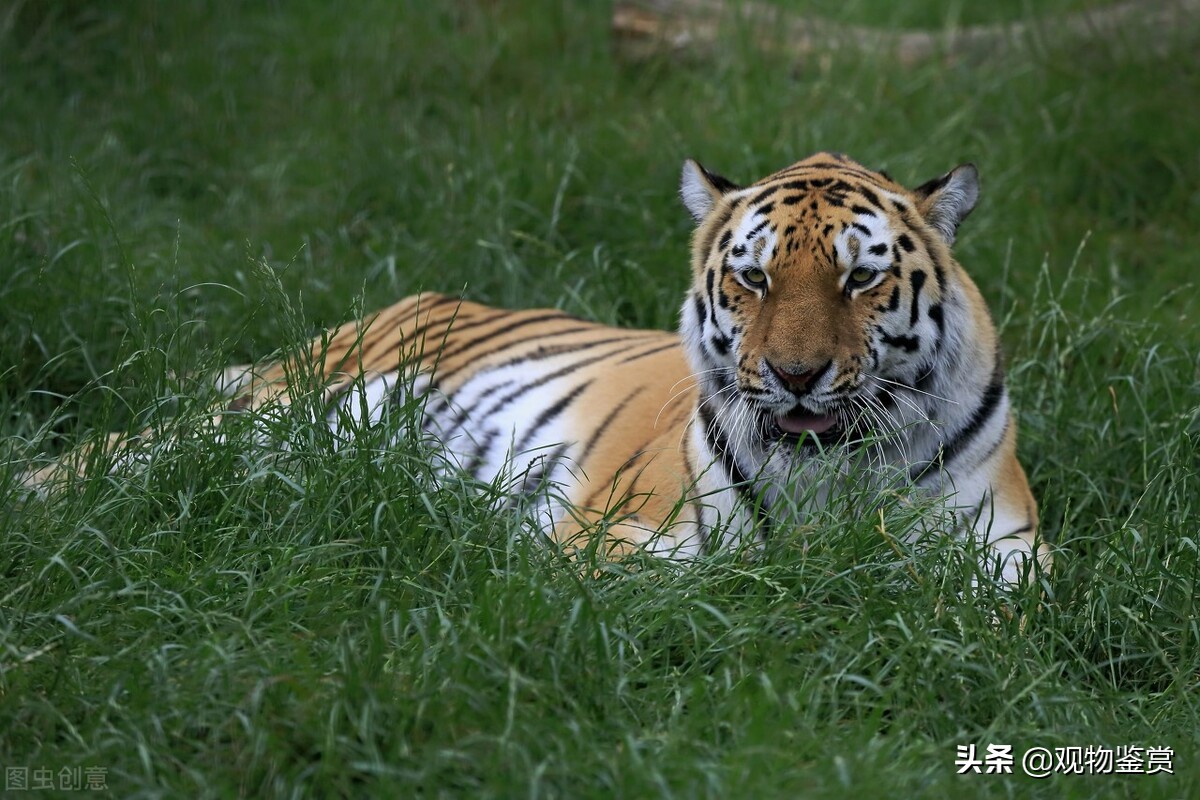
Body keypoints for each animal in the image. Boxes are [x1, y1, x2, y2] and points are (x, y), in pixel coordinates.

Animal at [21, 153, 1051, 585]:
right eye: (754, 277)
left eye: (859, 278)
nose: (795, 376)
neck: (832, 471)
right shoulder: (617, 531)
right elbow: (707, 580)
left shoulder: (1004, 537)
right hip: (257, 418)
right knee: (105, 459)